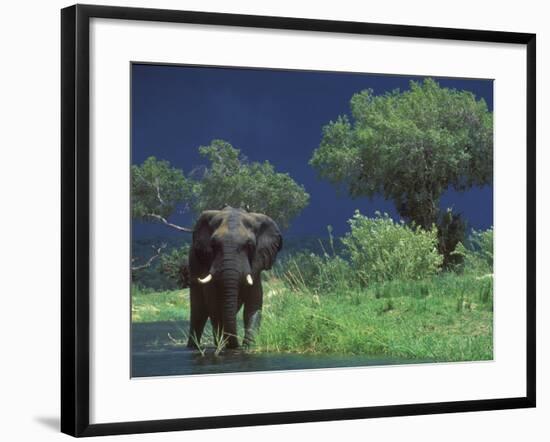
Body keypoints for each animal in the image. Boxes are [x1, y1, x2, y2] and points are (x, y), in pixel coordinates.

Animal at [189, 205, 284, 350]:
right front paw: (225, 345)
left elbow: (253, 305)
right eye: (213, 245)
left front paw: (248, 346)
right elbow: (214, 305)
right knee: (198, 312)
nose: (237, 345)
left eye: (249, 245)